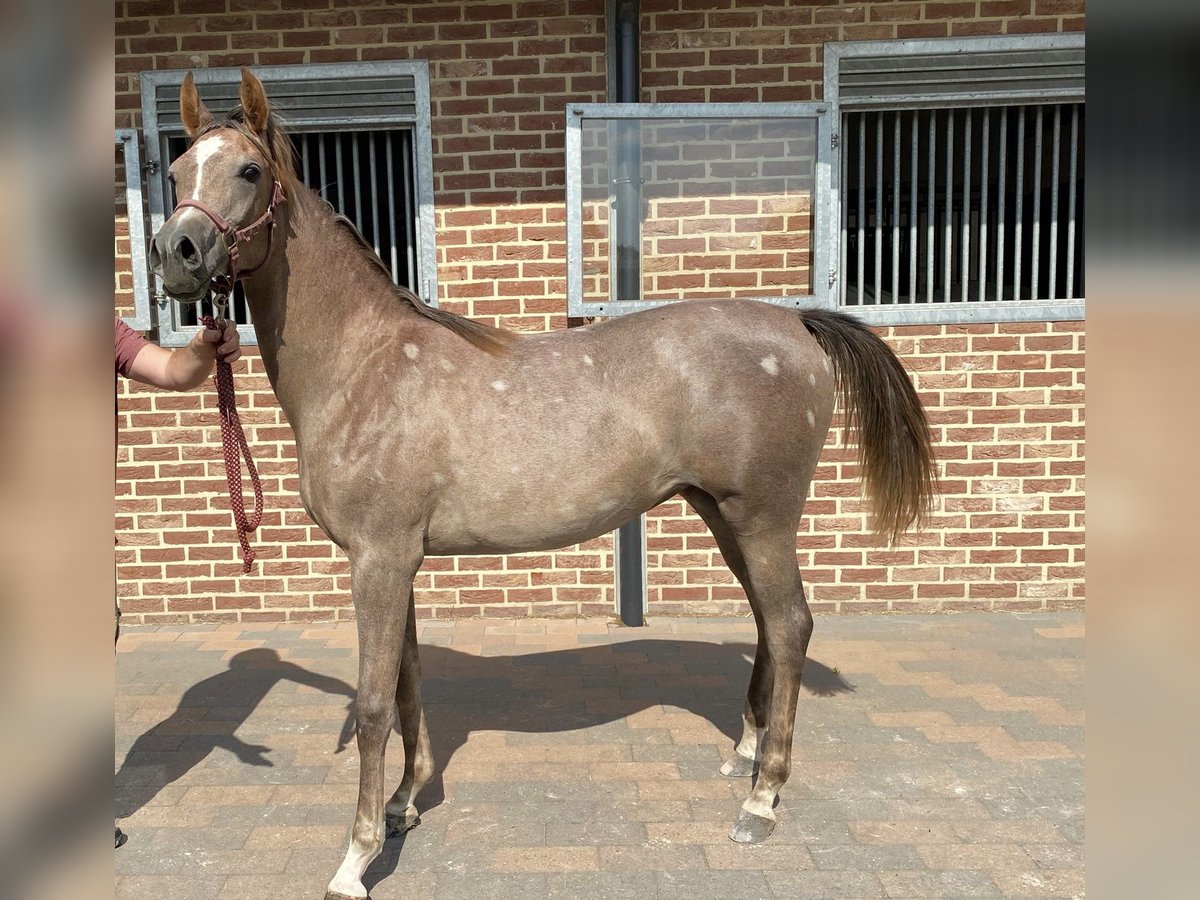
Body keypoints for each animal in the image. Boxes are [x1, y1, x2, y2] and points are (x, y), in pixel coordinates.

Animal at [150, 70, 936, 900]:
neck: (364, 365)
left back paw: (762, 800)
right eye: (176, 173)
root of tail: (799, 326)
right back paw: (746, 758)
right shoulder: (397, 562)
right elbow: (407, 683)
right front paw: (403, 804)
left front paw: (356, 858)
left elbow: (371, 705)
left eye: (249, 171)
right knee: (766, 623)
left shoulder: (379, 559)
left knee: (789, 626)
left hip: (762, 518)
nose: (175, 253)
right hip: (725, 517)